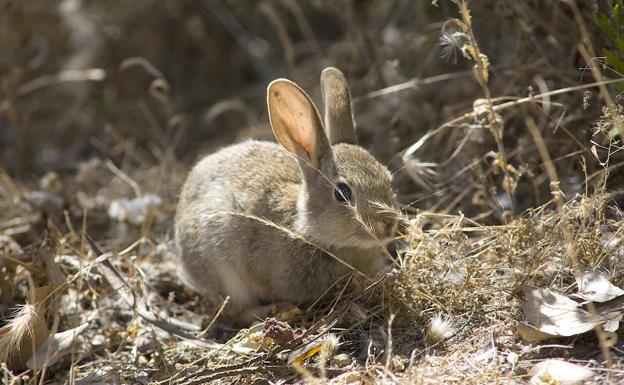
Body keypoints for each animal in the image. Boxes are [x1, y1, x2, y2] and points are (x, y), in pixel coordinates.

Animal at [174, 67, 400, 324]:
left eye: (388, 178)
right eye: (342, 193)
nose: (388, 222)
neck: (309, 230)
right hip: (223, 271)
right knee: (233, 311)